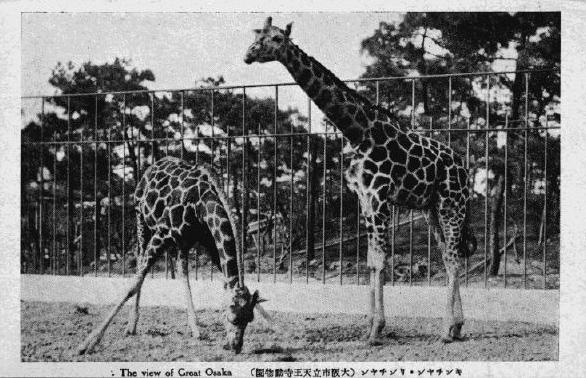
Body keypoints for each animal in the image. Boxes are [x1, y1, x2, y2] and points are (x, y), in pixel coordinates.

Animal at [76, 157, 266, 354]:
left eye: (250, 319)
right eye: (233, 318)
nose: (236, 347)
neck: (202, 204)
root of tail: (154, 165)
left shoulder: (203, 238)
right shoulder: (162, 233)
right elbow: (133, 285)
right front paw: (88, 343)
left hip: (181, 242)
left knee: (182, 273)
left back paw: (194, 328)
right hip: (141, 220)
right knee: (139, 262)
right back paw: (131, 325)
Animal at [242, 17, 474, 342]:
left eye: (276, 38)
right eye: (256, 35)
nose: (248, 54)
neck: (357, 132)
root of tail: (465, 169)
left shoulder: (379, 197)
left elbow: (380, 261)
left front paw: (376, 329)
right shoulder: (363, 198)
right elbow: (370, 261)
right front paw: (370, 326)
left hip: (451, 203)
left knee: (453, 257)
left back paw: (446, 329)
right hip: (431, 208)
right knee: (447, 255)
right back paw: (457, 325)